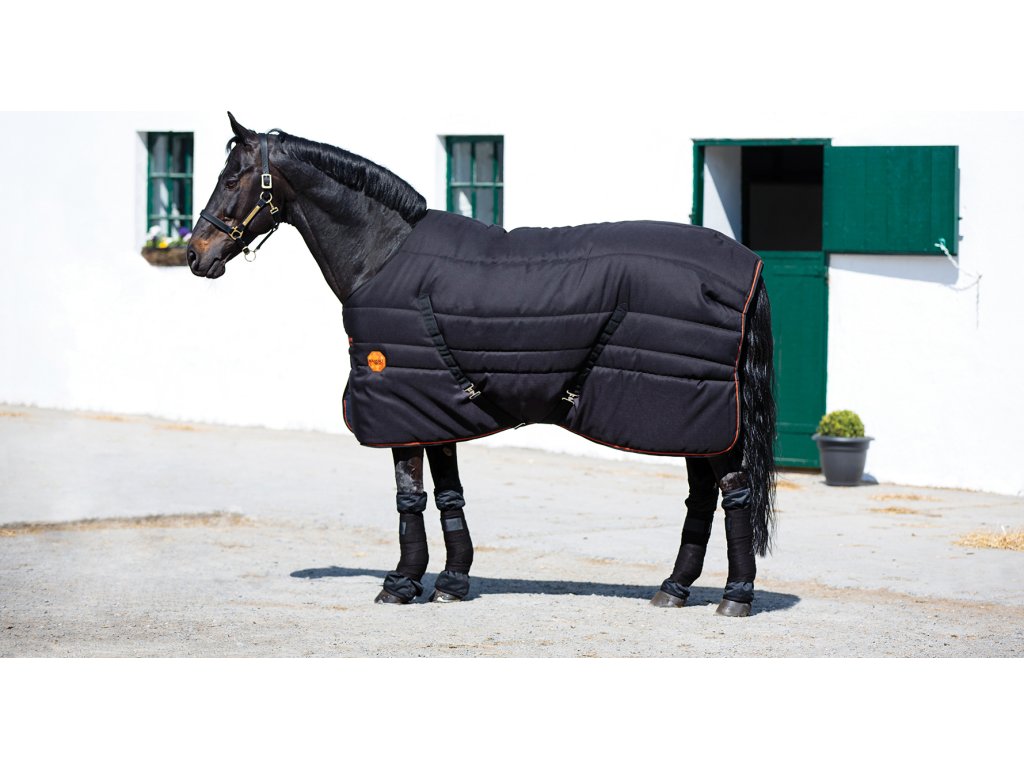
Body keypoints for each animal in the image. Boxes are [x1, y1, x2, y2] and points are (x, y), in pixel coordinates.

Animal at [187, 113, 777, 617]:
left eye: (233, 177)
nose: (196, 253)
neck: (382, 254)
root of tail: (747, 264)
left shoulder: (401, 405)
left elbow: (408, 496)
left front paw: (401, 582)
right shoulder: (433, 404)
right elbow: (448, 492)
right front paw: (450, 581)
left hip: (702, 416)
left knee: (735, 493)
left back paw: (735, 595)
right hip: (692, 420)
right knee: (702, 496)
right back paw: (673, 589)